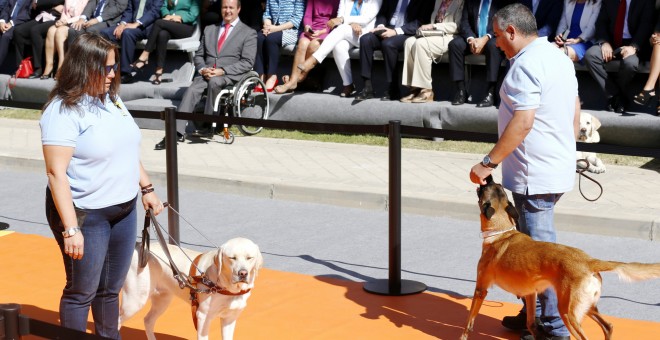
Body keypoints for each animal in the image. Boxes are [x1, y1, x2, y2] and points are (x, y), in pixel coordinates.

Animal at [120, 238, 264, 338]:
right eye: (232, 258)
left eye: (249, 258)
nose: (243, 273)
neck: (224, 286)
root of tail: (139, 246)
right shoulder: (203, 317)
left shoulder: (229, 319)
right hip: (134, 302)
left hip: (162, 300)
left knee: (148, 320)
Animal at [462, 177, 660, 338]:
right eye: (497, 186)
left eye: (485, 188)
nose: (487, 177)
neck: (502, 232)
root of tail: (588, 261)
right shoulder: (531, 294)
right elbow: (531, 323)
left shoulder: (480, 289)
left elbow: (469, 322)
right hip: (587, 307)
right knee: (608, 326)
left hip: (567, 312)